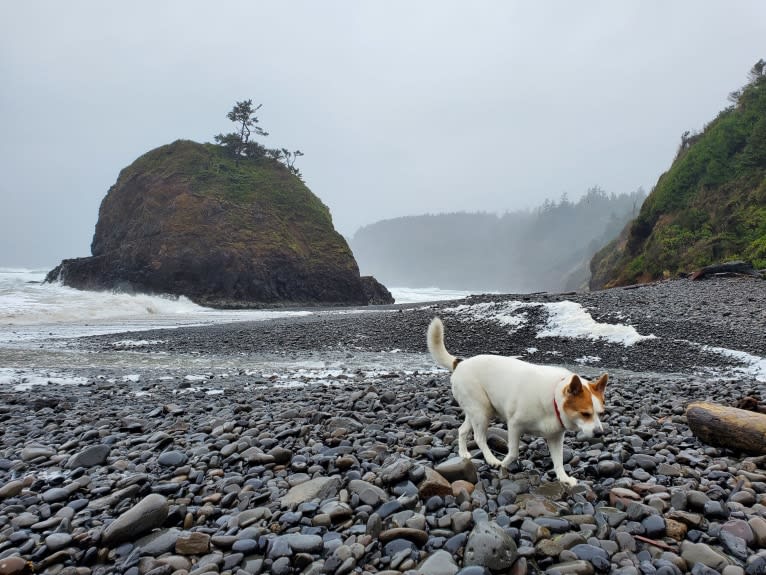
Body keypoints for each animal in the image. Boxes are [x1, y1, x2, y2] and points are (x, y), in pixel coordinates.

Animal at [428, 318, 608, 484]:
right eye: (585, 414)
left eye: (600, 413)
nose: (599, 433)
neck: (553, 398)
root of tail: (461, 364)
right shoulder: (515, 425)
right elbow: (514, 452)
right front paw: (503, 464)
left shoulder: (555, 437)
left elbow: (558, 461)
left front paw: (564, 478)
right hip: (481, 412)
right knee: (479, 438)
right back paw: (492, 459)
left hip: (476, 411)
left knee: (462, 430)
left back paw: (464, 453)